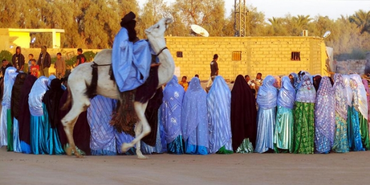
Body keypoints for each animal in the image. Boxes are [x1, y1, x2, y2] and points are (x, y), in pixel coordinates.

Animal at [60, 17, 175, 159]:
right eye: (157, 26)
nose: (168, 19)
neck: (157, 73)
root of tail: (70, 76)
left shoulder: (144, 101)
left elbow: (139, 128)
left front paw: (140, 154)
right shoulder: (137, 101)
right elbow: (147, 128)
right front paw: (125, 147)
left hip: (79, 96)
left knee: (71, 121)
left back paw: (72, 150)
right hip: (80, 93)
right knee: (68, 119)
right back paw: (76, 152)